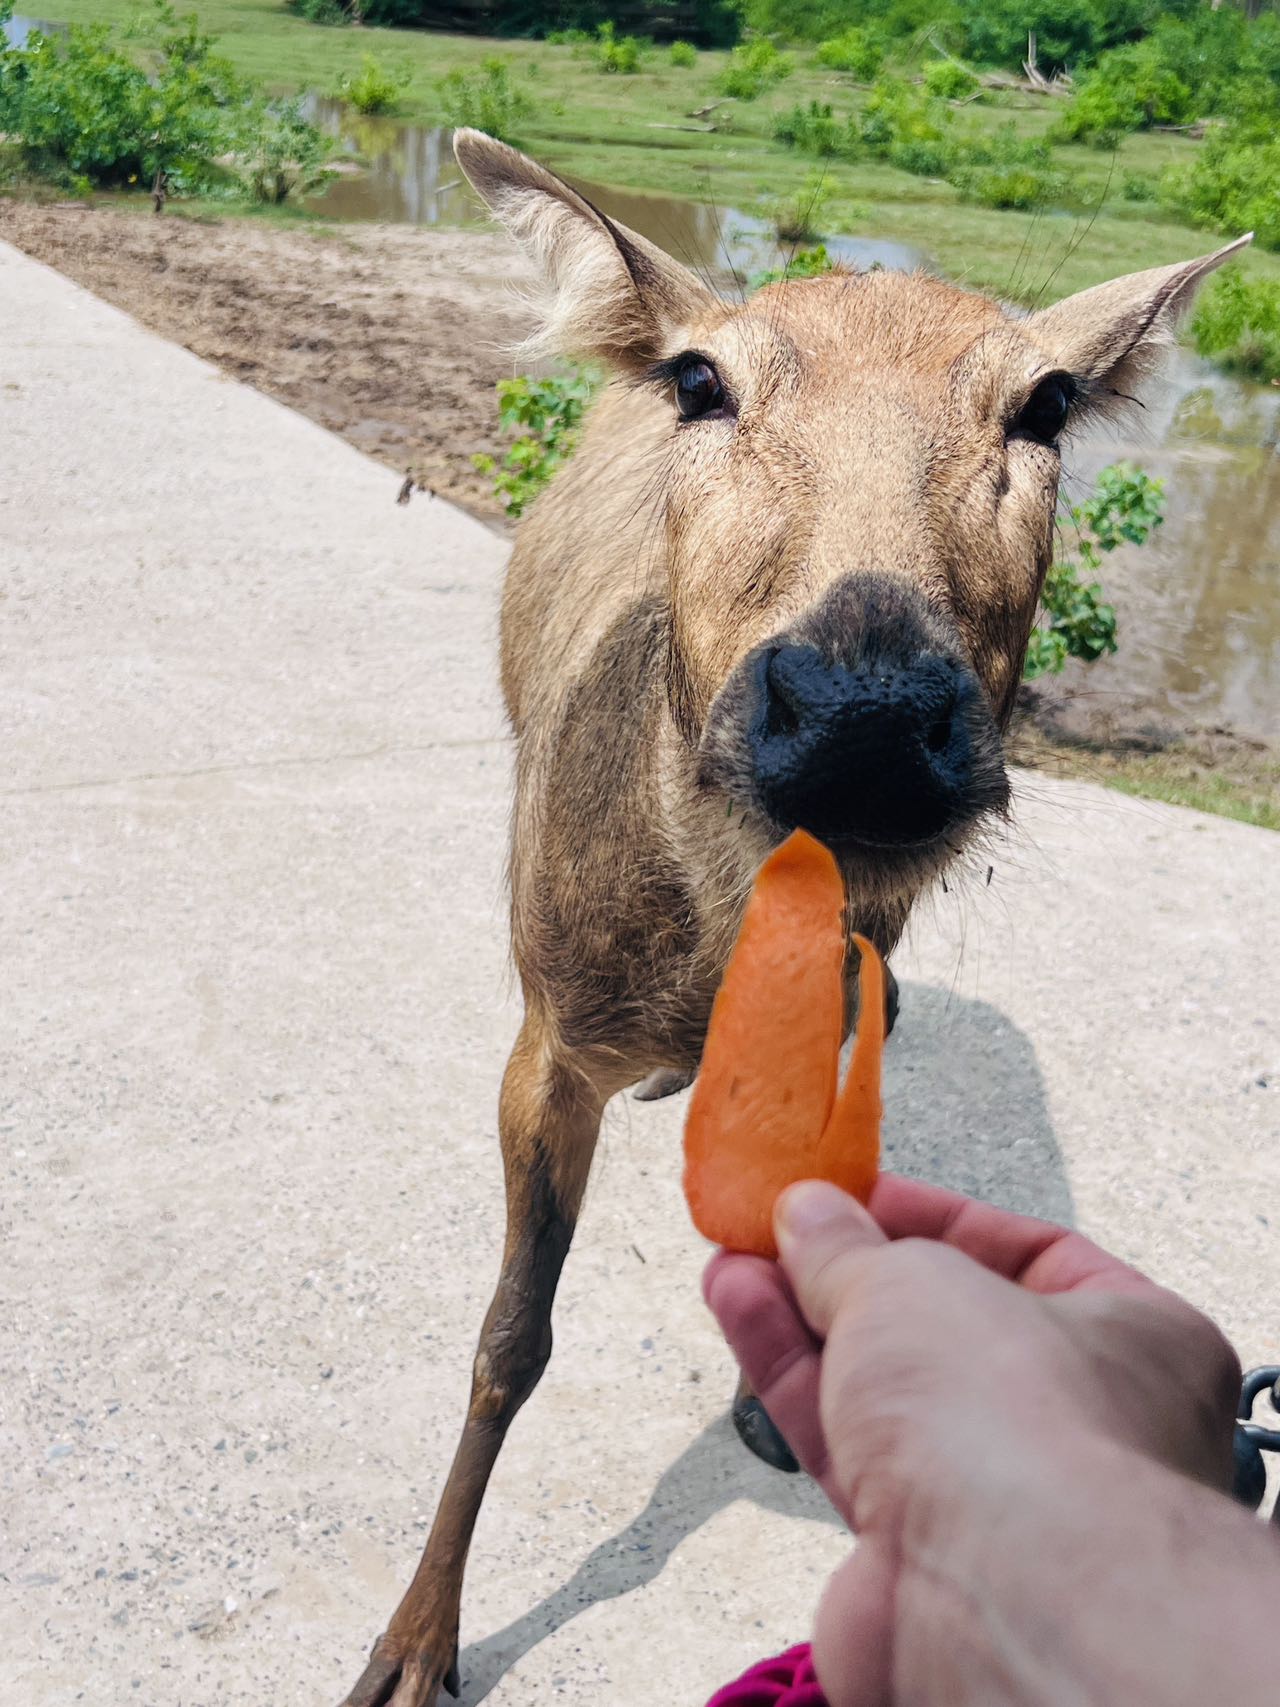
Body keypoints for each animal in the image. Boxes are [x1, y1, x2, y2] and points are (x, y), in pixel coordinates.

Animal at [338, 128, 1247, 1707]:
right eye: (703, 380)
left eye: (1045, 401)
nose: (861, 713)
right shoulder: (544, 1033)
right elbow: (511, 1337)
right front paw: (414, 1644)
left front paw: (780, 1393)